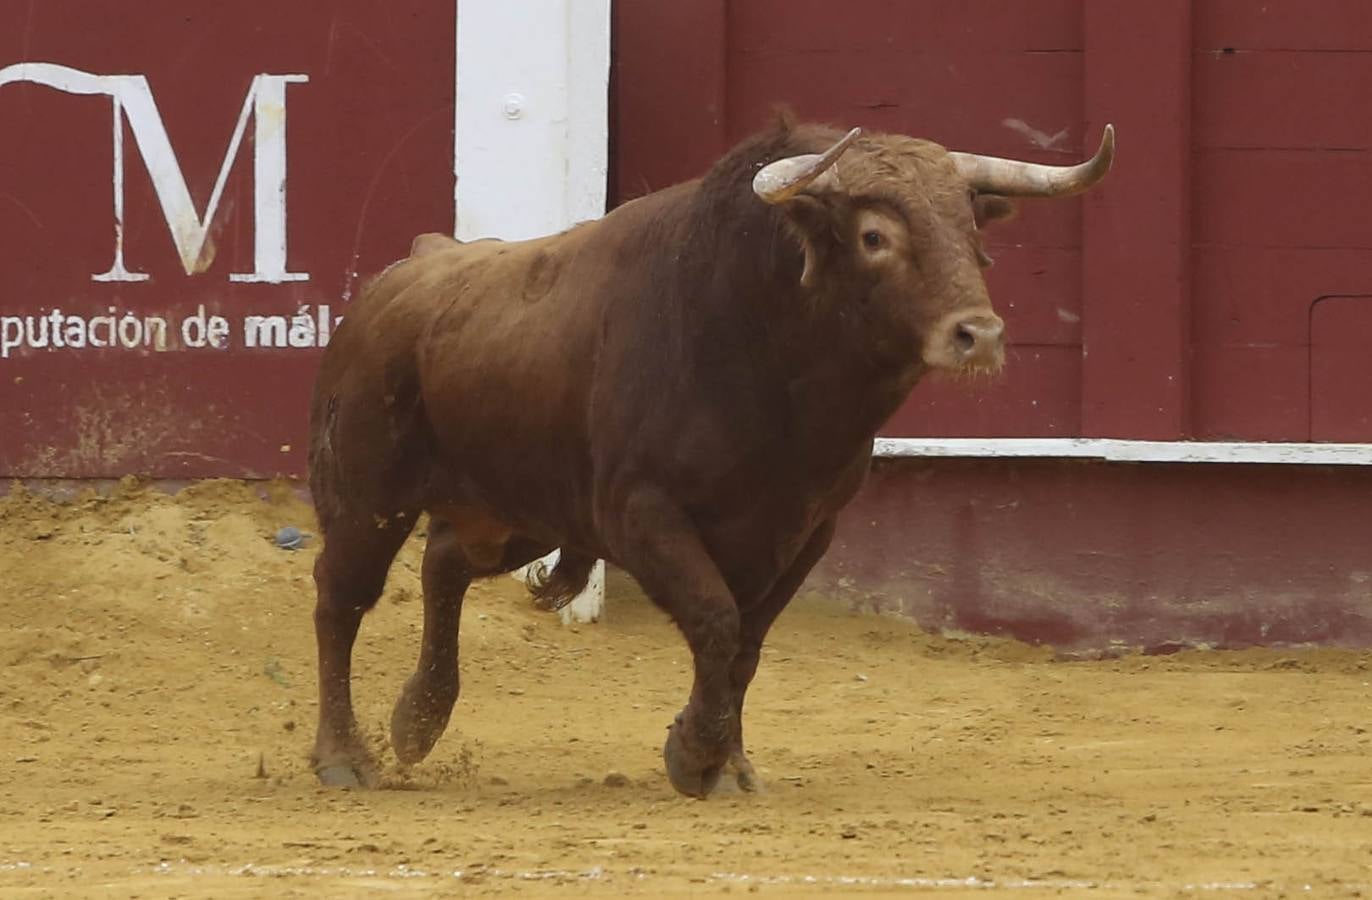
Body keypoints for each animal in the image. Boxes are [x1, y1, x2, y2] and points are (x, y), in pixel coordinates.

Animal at [305, 115, 1108, 795]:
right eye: (876, 236)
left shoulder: (808, 529)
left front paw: (730, 764)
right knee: (341, 597)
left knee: (443, 563)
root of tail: (402, 275)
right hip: (369, 497)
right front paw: (693, 756)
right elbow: (717, 621)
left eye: (970, 229)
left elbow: (746, 644)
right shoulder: (640, 512)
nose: (979, 335)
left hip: (520, 511)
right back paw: (344, 758)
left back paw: (417, 721)